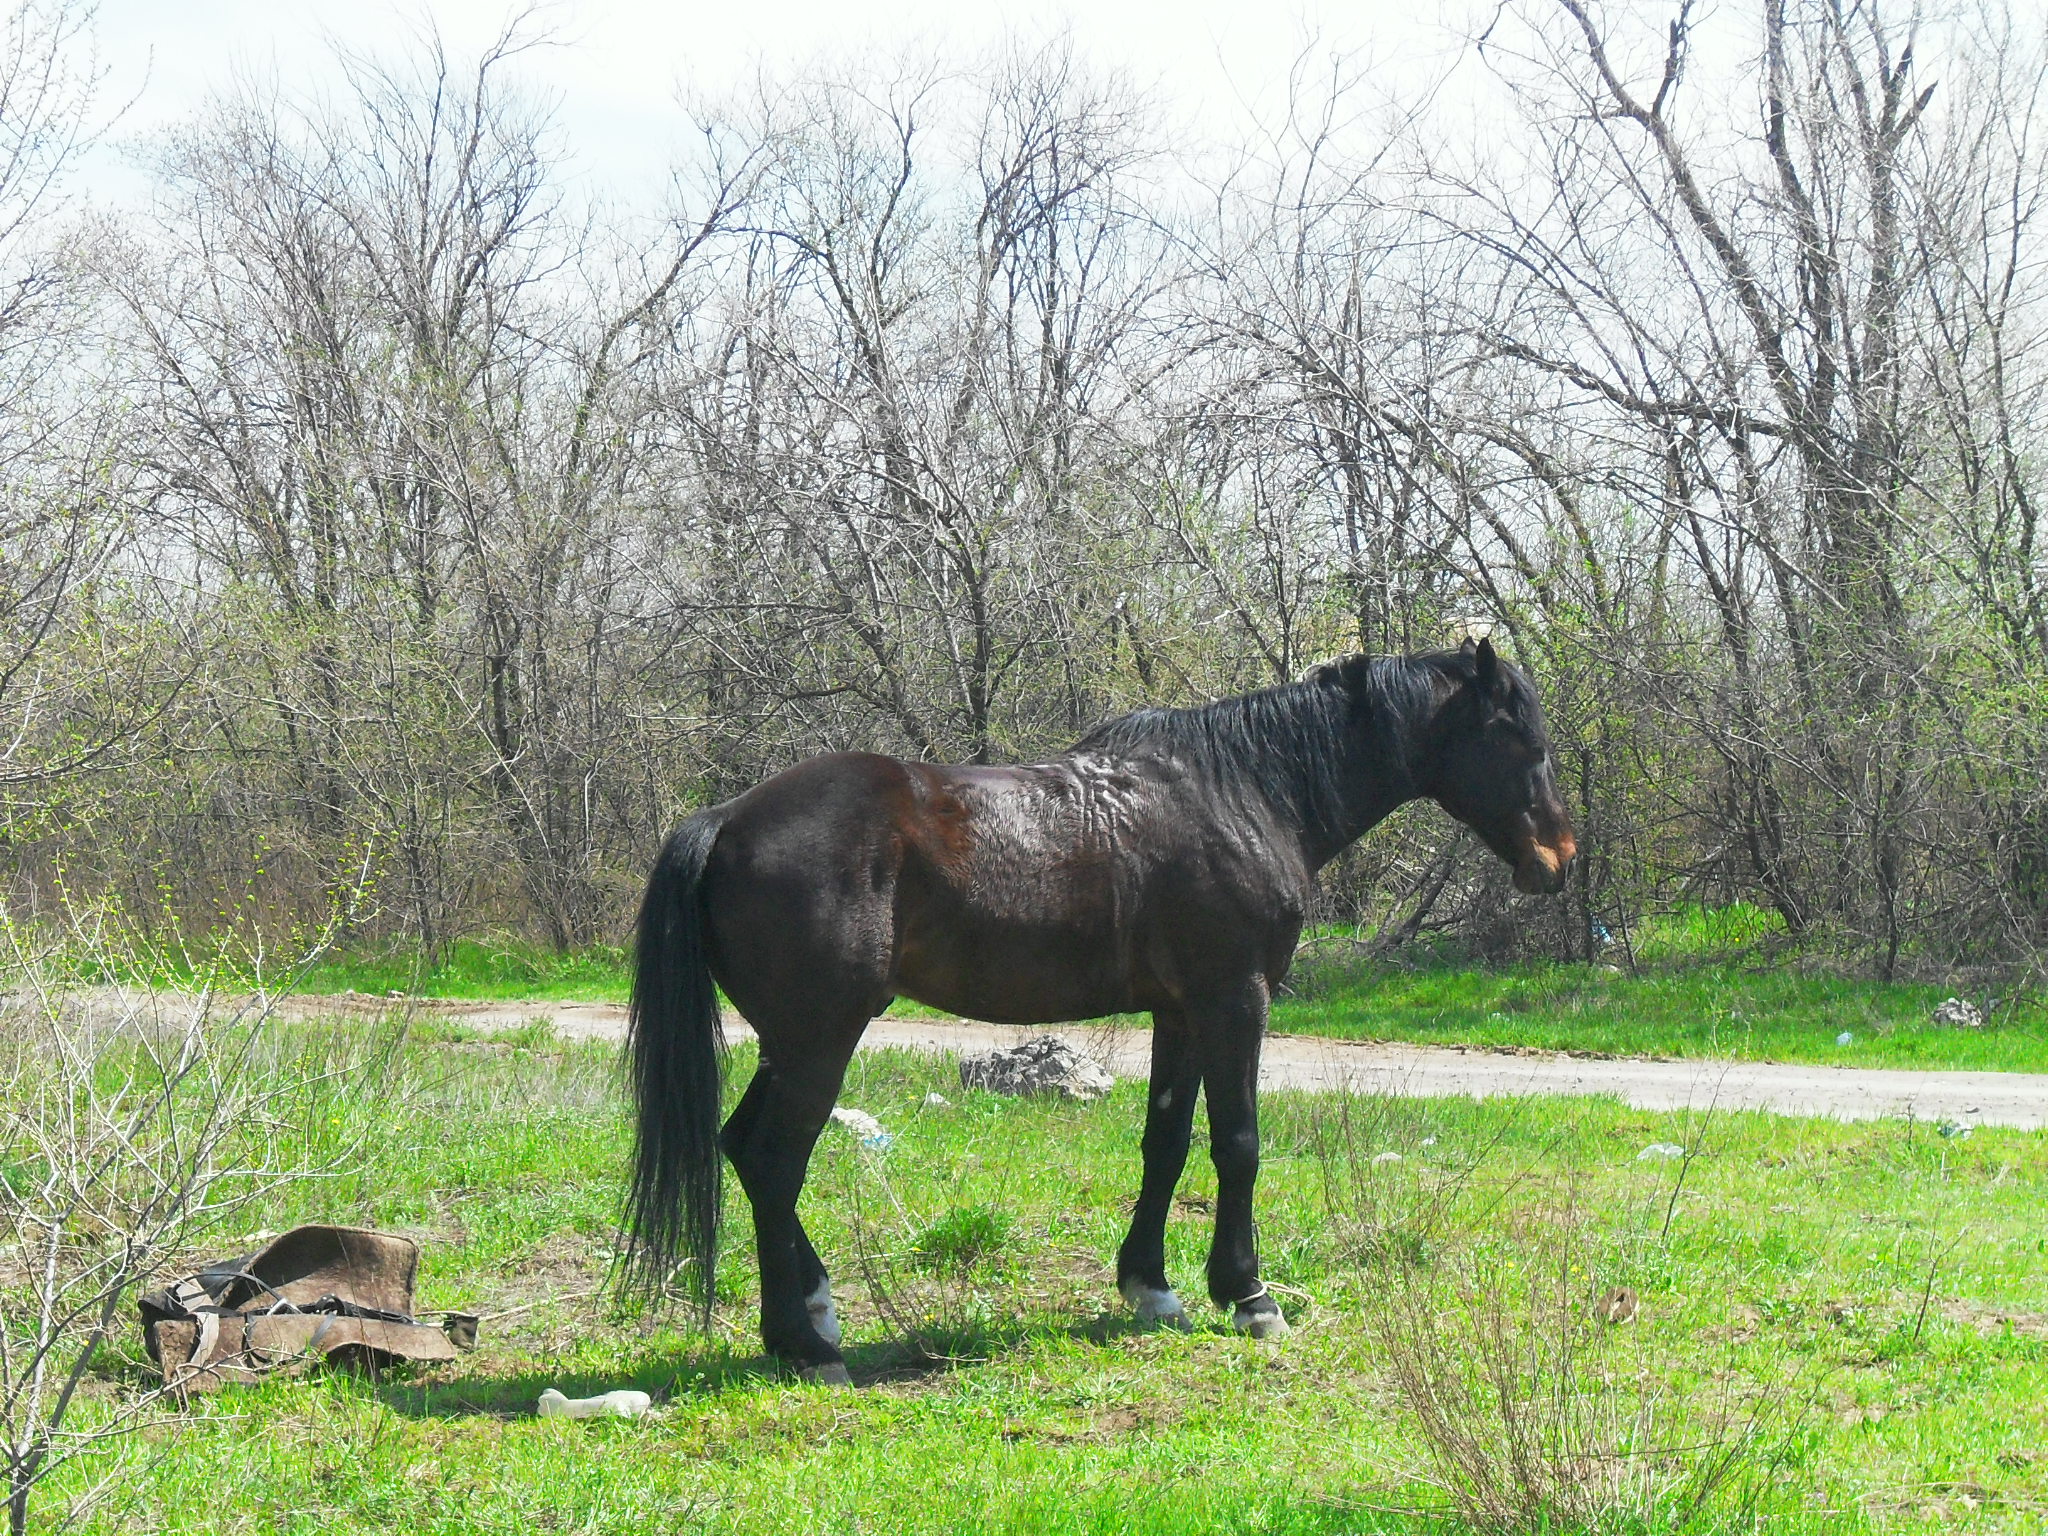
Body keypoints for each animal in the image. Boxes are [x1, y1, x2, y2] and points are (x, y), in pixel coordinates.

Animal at [630, 638, 1572, 1384]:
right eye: (1521, 740)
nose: (1558, 858)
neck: (1245, 791)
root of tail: (727, 819)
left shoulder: (1181, 1014)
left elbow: (1167, 1143)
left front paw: (1152, 1286)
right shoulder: (1236, 1000)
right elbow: (1237, 1145)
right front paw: (1249, 1294)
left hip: (790, 1044)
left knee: (745, 1151)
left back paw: (812, 1313)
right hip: (820, 1041)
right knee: (773, 1159)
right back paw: (805, 1342)